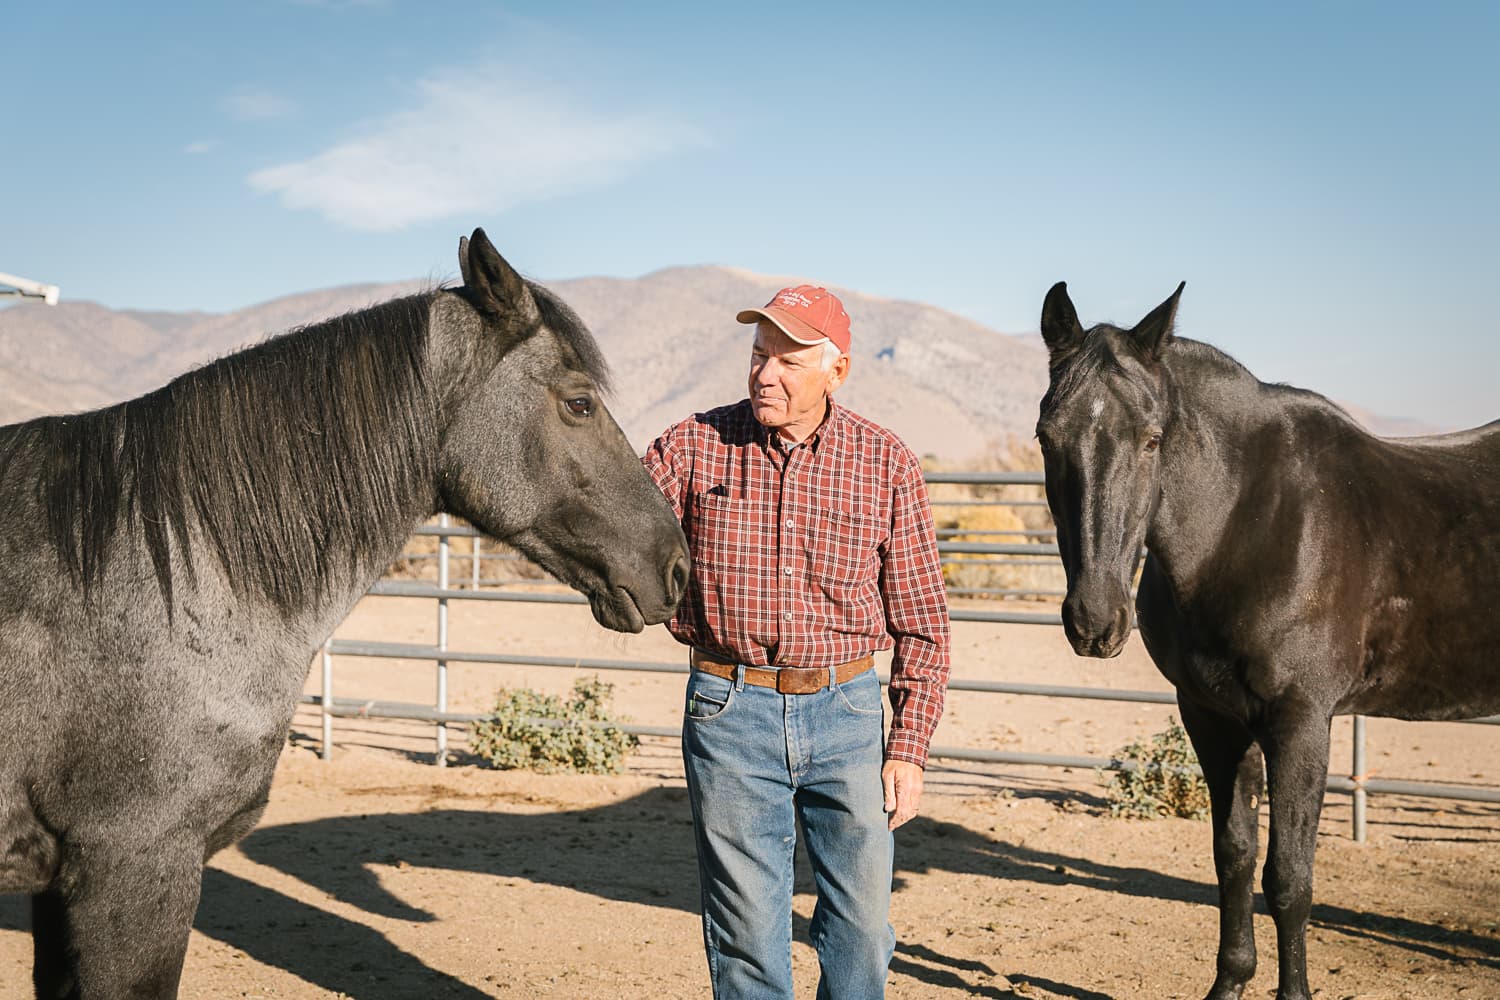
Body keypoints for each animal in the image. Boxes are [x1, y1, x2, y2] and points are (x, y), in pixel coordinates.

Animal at [1034, 281, 1500, 1000]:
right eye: (1046, 437)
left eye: (1151, 439)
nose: (1094, 620)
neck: (1249, 524)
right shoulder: (1213, 717)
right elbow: (1234, 857)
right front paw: (1230, 982)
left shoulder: (1300, 721)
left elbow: (1288, 878)